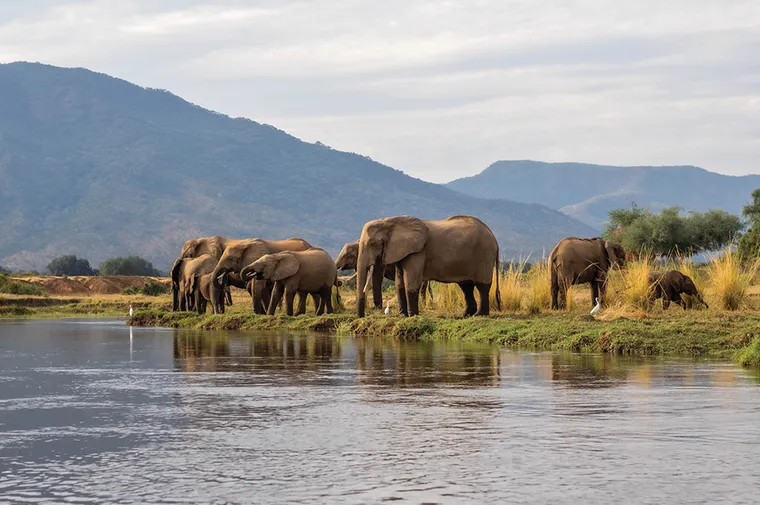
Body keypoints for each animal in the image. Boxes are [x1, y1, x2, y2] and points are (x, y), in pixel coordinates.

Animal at [354, 215, 498, 316]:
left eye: (373, 243)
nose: (363, 316)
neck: (391, 221)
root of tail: (494, 238)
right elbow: (399, 283)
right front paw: (403, 315)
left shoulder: (417, 252)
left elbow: (411, 282)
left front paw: (412, 316)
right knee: (466, 286)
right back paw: (466, 315)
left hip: (483, 255)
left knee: (482, 286)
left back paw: (479, 315)